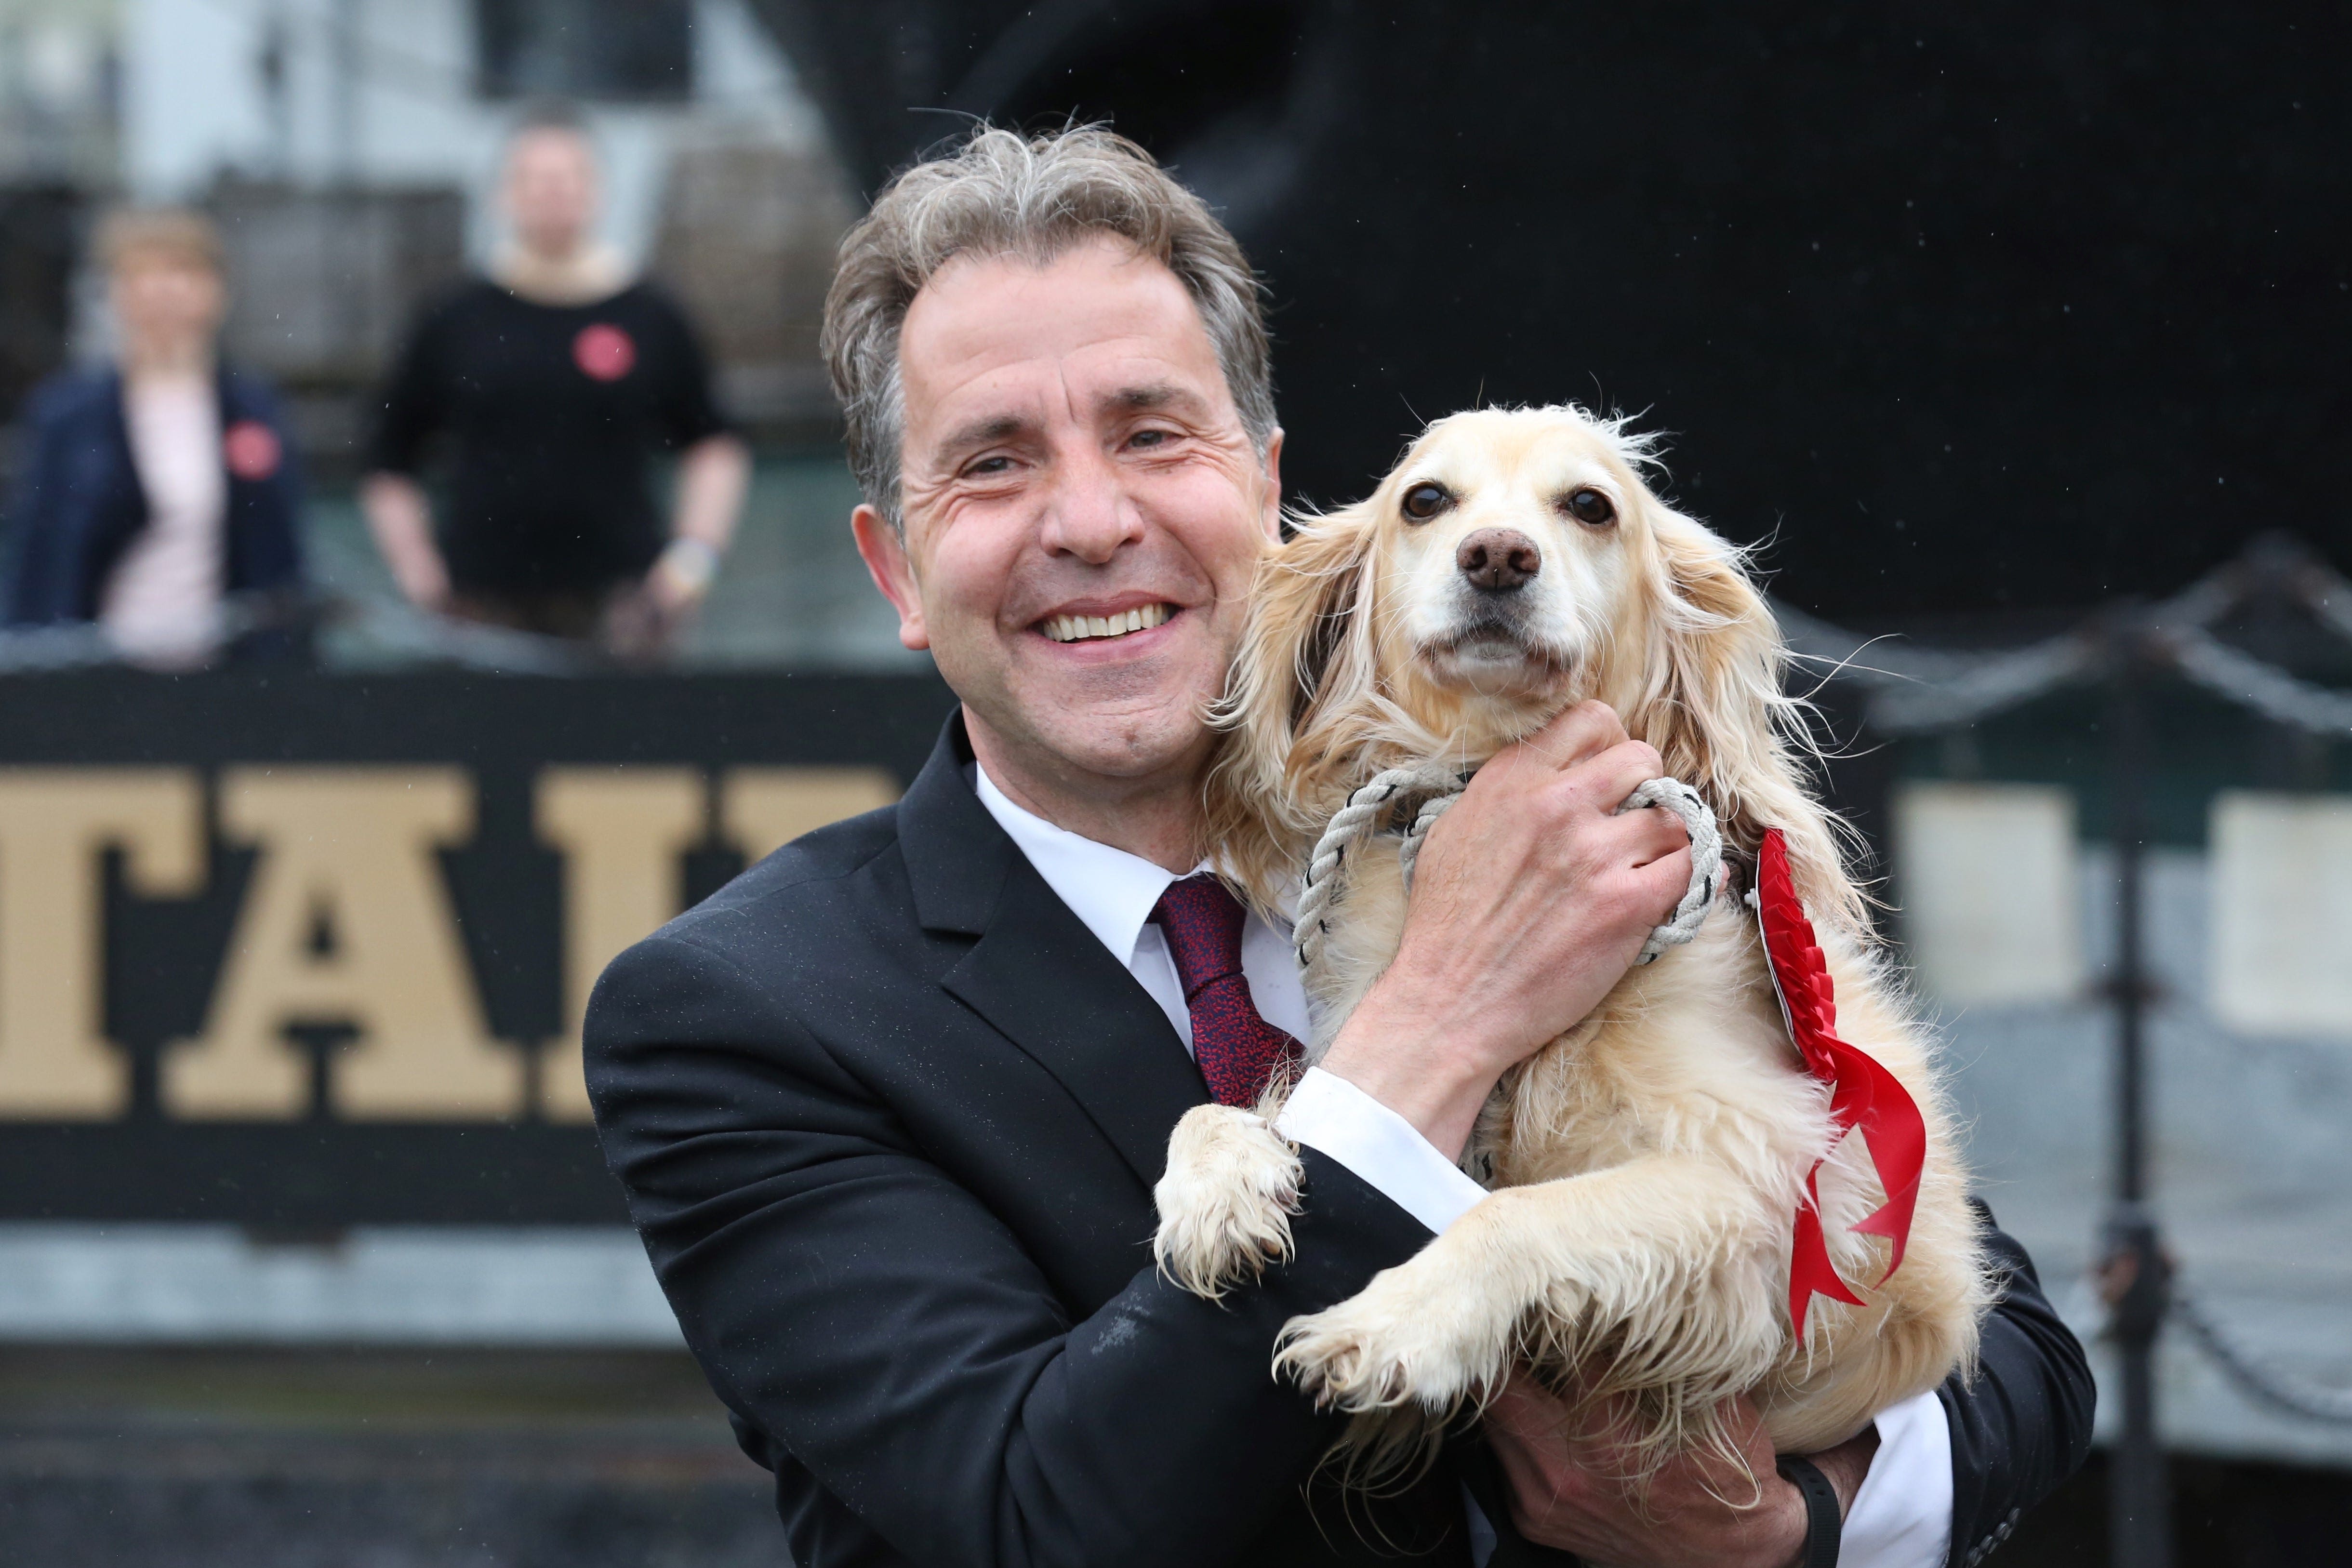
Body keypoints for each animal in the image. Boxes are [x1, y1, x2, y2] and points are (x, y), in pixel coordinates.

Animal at [1152, 404, 1985, 1486]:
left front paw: (1394, 1322)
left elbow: (1511, 1213)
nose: (1497, 556)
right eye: (1425, 499)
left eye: (1590, 505)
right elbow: (1233, 1107)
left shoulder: (1772, 1197)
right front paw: (1215, 1191)